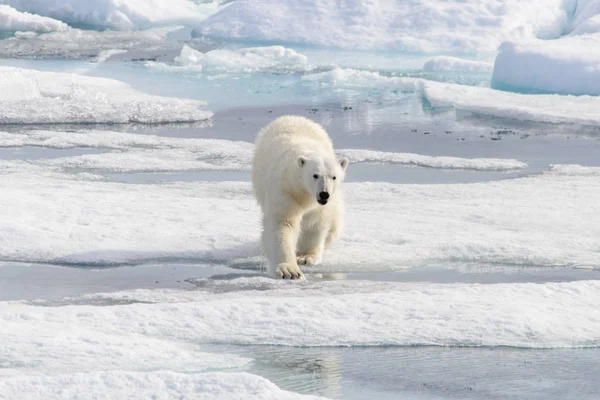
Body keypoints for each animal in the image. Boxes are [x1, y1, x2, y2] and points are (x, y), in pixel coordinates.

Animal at [252, 115, 346, 278]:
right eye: (315, 175)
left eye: (333, 177)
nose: (324, 194)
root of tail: (292, 117)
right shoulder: (286, 191)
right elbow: (284, 223)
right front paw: (289, 271)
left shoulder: (321, 205)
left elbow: (315, 222)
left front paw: (306, 257)